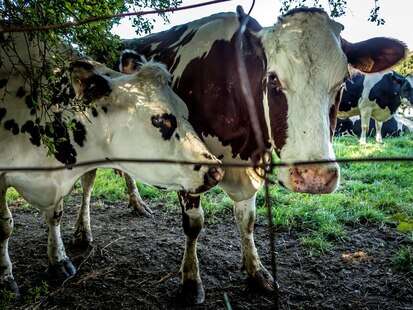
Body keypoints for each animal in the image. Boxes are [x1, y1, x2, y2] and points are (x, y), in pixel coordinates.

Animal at [0, 50, 224, 296]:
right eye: (160, 120)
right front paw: (5, 278)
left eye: (185, 112)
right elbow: (5, 226)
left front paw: (58, 260)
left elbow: (55, 215)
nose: (216, 171)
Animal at [77, 6, 406, 304]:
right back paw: (83, 232)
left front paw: (256, 271)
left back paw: (136, 203)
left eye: (343, 83)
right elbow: (194, 224)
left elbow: (247, 220)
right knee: (88, 182)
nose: (314, 176)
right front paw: (190, 282)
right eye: (272, 80)